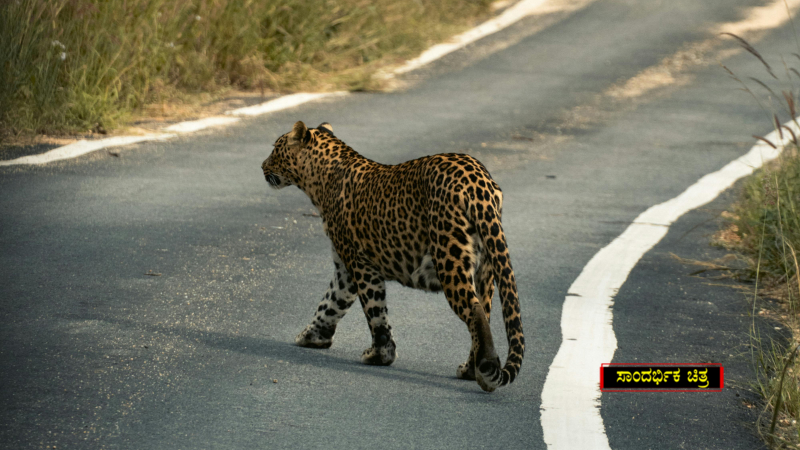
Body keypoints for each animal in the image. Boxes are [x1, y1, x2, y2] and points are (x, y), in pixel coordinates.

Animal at [261, 121, 524, 392]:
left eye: (275, 148)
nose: (262, 166)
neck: (320, 181)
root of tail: (479, 182)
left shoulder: (360, 263)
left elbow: (374, 311)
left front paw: (380, 354)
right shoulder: (345, 268)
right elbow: (331, 302)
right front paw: (312, 336)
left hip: (449, 257)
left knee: (475, 311)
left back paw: (483, 370)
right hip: (486, 264)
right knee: (485, 311)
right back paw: (472, 368)